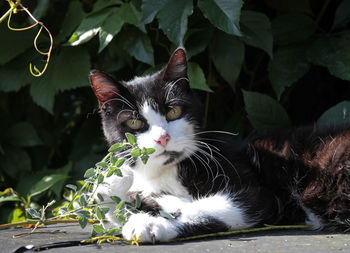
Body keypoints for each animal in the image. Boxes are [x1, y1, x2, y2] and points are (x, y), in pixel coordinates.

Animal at [89, 47, 350, 243]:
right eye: (134, 122)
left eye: (174, 112)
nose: (162, 137)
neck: (164, 173)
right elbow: (110, 196)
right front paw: (124, 194)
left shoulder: (258, 194)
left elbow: (207, 208)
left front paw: (150, 222)